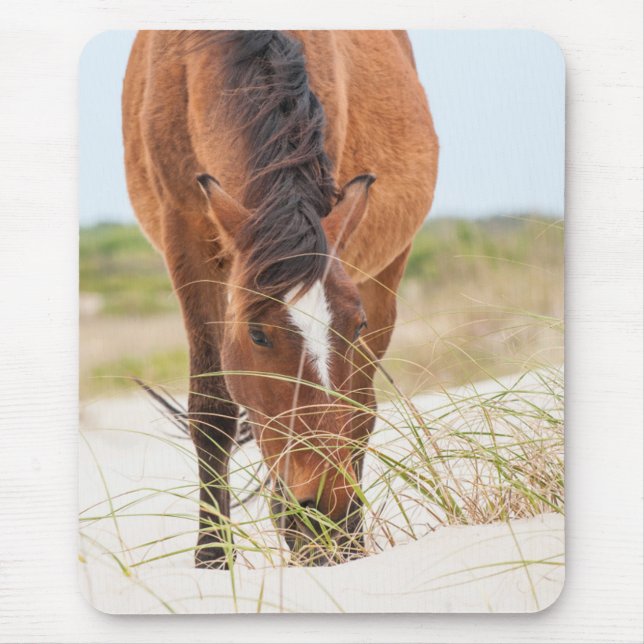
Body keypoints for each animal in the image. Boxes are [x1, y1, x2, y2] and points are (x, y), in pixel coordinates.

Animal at [122, 30, 438, 568]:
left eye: (355, 325)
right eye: (257, 334)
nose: (328, 509)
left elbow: (349, 409)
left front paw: (332, 535)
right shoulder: (184, 232)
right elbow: (213, 410)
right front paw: (212, 558)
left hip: (388, 271)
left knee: (363, 407)